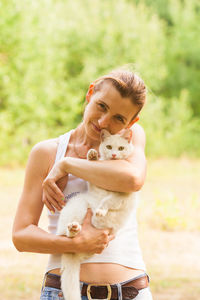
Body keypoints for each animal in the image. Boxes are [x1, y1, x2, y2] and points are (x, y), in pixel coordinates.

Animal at [57, 129, 137, 300]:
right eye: (109, 147)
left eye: (120, 148)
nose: (113, 154)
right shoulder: (94, 185)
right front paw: (92, 156)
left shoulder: (122, 196)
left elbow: (108, 200)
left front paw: (101, 210)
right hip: (78, 204)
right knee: (65, 235)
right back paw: (74, 229)